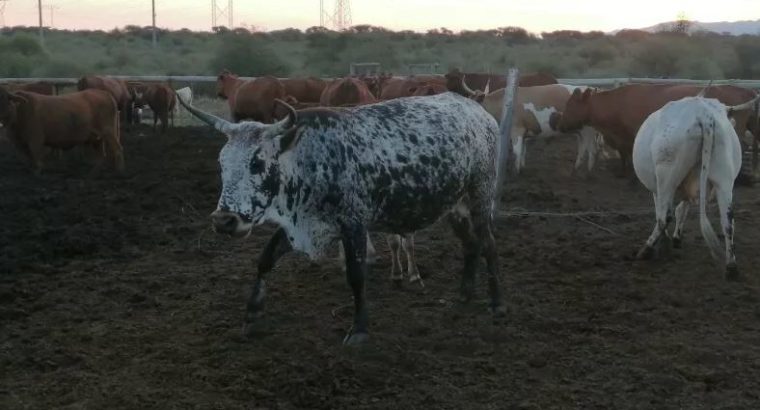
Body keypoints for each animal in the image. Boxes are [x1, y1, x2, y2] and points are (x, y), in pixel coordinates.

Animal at [176, 92, 508, 344]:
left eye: (257, 162)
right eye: (222, 162)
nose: (224, 220)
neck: (309, 159)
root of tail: (479, 112)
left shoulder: (354, 225)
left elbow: (356, 275)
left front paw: (359, 329)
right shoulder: (302, 224)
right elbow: (265, 259)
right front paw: (252, 313)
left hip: (480, 198)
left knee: (489, 244)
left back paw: (496, 303)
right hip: (454, 207)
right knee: (471, 245)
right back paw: (464, 295)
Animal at [449, 76, 601, 174]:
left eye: (472, 102)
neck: (504, 104)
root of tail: (592, 89)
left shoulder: (516, 130)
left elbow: (516, 152)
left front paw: (516, 172)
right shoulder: (524, 134)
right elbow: (522, 151)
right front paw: (521, 167)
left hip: (588, 131)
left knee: (591, 150)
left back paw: (587, 173)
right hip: (581, 131)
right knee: (583, 148)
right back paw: (577, 168)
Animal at [557, 84, 760, 177]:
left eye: (571, 104)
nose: (561, 125)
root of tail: (745, 90)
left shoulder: (632, 136)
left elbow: (629, 154)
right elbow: (624, 155)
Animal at [632, 95, 758, 279]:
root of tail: (704, 114)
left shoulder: (658, 189)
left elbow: (665, 212)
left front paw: (666, 242)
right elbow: (682, 210)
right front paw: (676, 238)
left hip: (666, 176)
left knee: (664, 216)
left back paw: (646, 250)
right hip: (724, 180)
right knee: (728, 221)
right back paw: (731, 267)